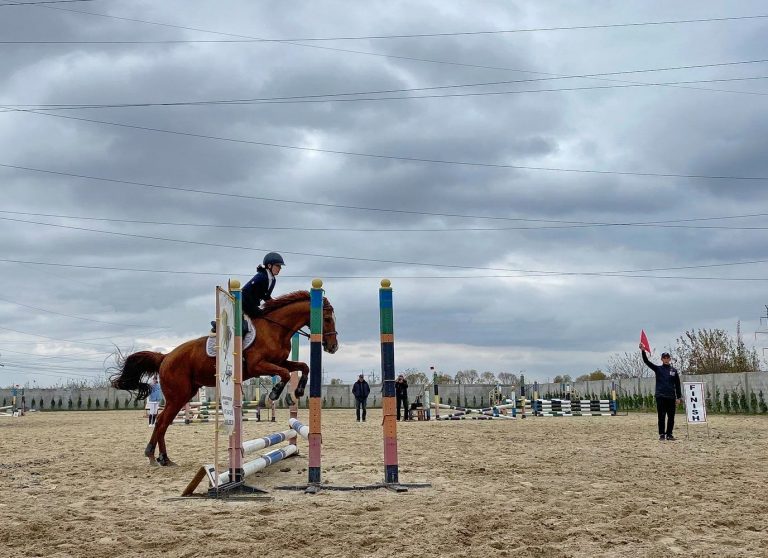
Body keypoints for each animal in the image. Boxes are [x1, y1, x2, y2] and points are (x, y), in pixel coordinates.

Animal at [109, 290, 338, 466]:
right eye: (326, 319)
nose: (333, 347)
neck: (276, 329)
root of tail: (165, 357)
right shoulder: (258, 365)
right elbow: (283, 374)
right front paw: (275, 395)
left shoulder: (280, 361)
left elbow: (303, 366)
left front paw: (297, 391)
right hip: (178, 395)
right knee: (161, 421)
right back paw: (153, 455)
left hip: (185, 394)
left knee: (164, 422)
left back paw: (164, 458)